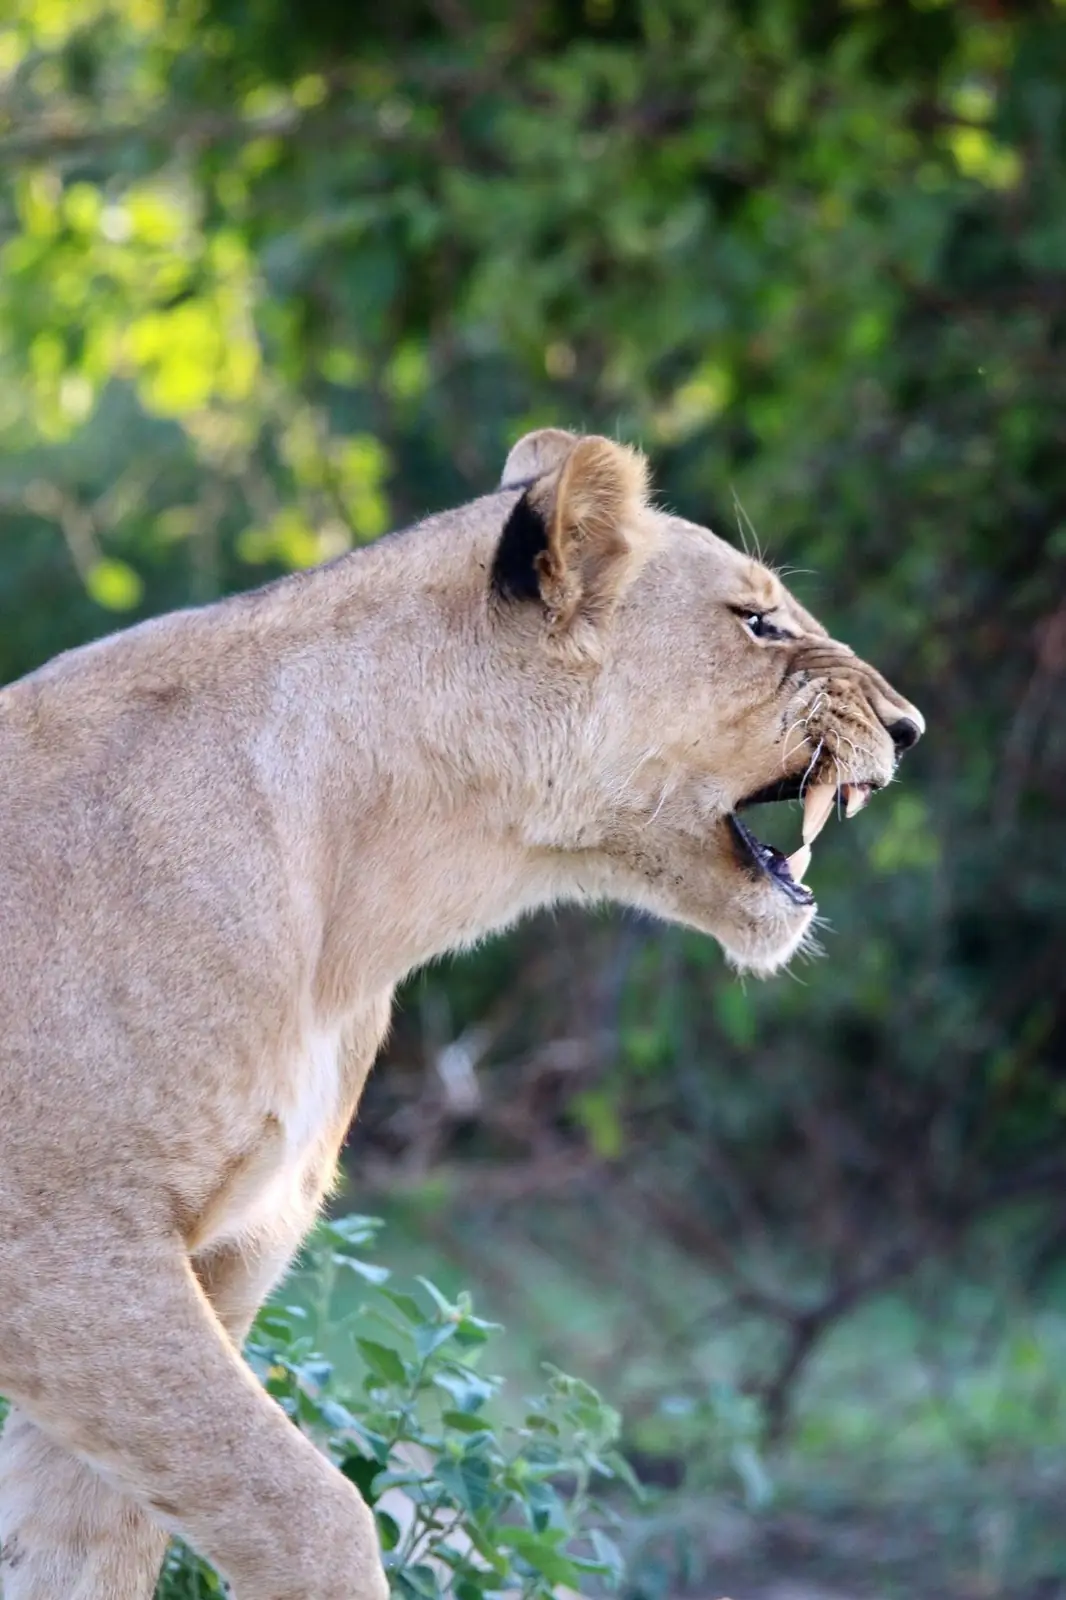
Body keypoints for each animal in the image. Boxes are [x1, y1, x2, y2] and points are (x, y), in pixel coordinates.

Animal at [0, 430, 923, 1599]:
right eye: (758, 622)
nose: (910, 725)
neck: (367, 904)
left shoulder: (223, 1255)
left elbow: (82, 1553)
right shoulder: (66, 1251)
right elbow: (308, 1512)